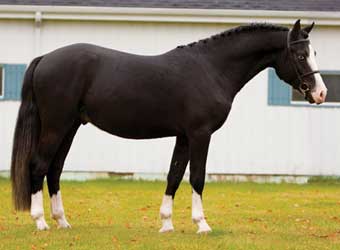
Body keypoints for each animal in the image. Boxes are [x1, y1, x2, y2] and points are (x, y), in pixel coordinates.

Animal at [10, 19, 326, 232]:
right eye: (300, 55)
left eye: (314, 54)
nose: (320, 93)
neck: (211, 69)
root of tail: (45, 58)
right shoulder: (200, 134)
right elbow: (197, 177)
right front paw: (202, 225)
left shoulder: (183, 136)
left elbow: (174, 176)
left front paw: (166, 224)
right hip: (56, 125)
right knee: (38, 166)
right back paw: (41, 222)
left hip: (70, 126)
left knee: (54, 169)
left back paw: (62, 221)